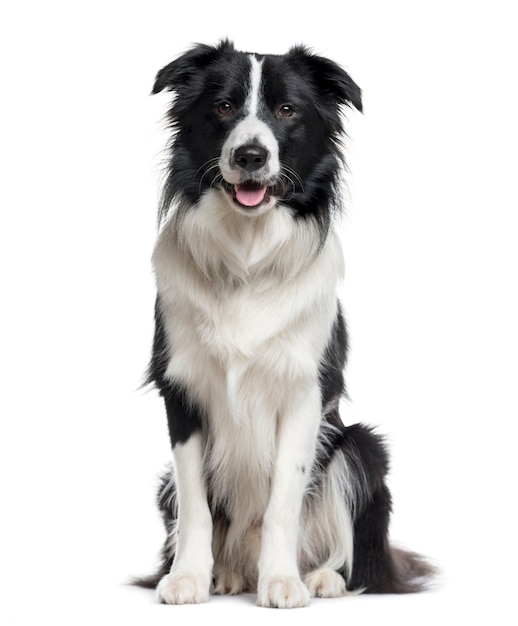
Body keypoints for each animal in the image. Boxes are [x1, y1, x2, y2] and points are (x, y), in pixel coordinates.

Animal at [136, 39, 436, 604]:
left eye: (287, 110)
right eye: (223, 107)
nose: (250, 156)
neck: (247, 256)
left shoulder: (305, 393)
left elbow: (282, 502)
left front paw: (281, 581)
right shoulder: (181, 392)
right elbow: (196, 505)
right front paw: (187, 577)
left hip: (361, 447)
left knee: (356, 555)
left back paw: (319, 577)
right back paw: (227, 575)